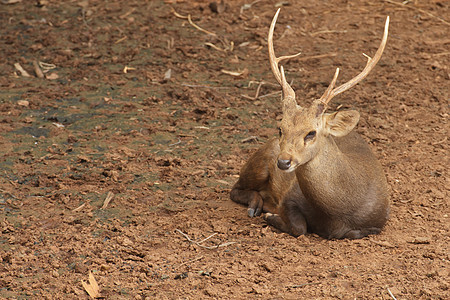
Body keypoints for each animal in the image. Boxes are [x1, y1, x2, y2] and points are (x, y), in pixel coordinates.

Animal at [230, 8, 388, 239]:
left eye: (311, 133)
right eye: (280, 128)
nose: (283, 162)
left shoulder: (380, 219)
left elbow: (354, 232)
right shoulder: (289, 196)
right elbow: (300, 228)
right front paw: (271, 216)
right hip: (258, 162)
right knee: (235, 188)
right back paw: (256, 206)